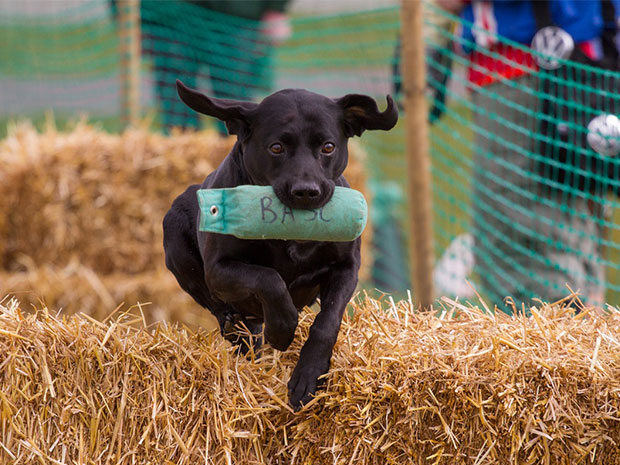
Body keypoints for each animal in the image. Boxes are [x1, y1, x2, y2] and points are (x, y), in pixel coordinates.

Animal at [162, 80, 400, 406]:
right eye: (276, 147)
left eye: (328, 147)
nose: (306, 192)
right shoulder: (219, 270)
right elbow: (269, 279)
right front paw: (282, 329)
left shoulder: (346, 268)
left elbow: (327, 321)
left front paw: (308, 375)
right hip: (176, 238)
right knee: (224, 312)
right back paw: (238, 326)